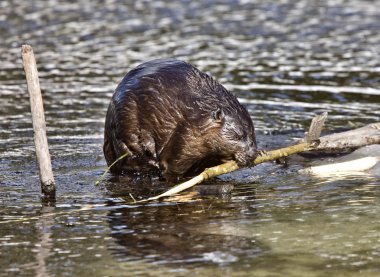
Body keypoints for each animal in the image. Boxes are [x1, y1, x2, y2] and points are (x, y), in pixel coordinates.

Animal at [103, 58, 258, 180]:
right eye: (237, 135)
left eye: (253, 134)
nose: (252, 155)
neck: (201, 112)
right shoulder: (188, 133)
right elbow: (172, 164)